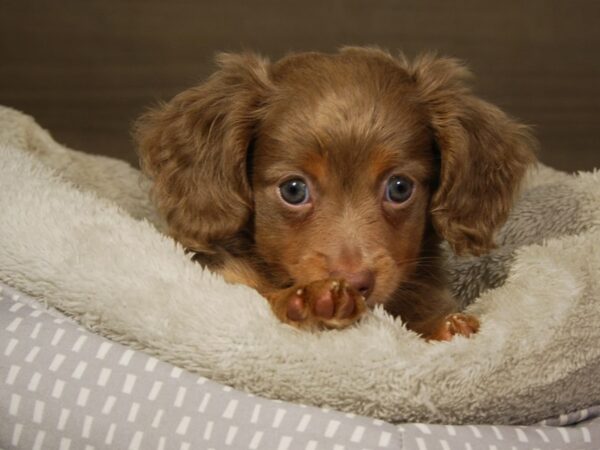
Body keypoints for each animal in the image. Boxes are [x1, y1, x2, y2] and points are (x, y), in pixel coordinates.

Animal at [134, 47, 536, 340]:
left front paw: (445, 326)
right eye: (293, 190)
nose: (355, 284)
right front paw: (316, 300)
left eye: (400, 187)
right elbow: (261, 292)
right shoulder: (228, 277)